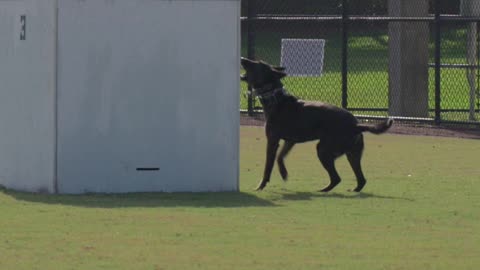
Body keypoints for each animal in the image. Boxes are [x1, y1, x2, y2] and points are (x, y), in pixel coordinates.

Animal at [242, 57, 392, 192]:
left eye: (257, 63)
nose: (242, 58)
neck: (276, 98)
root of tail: (356, 125)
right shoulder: (290, 141)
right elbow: (280, 157)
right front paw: (283, 173)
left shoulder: (272, 141)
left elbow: (268, 167)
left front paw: (260, 186)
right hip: (352, 155)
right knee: (361, 180)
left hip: (323, 150)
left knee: (337, 178)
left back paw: (323, 191)